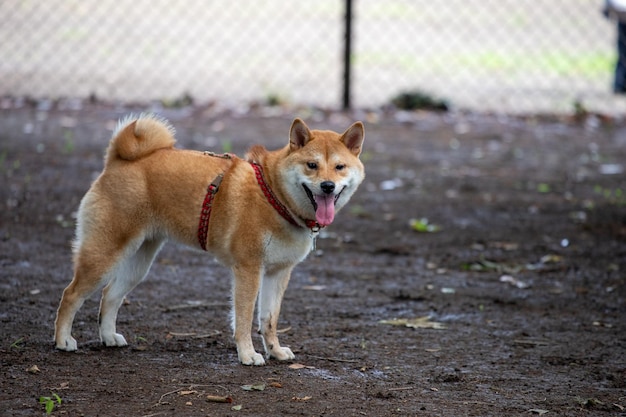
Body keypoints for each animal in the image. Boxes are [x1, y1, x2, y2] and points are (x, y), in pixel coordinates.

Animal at [56, 114, 366, 364]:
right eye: (312, 165)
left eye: (339, 167)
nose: (327, 186)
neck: (275, 196)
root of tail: (117, 160)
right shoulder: (248, 270)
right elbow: (244, 319)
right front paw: (248, 354)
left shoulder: (278, 273)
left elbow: (269, 319)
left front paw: (275, 351)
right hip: (104, 254)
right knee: (71, 294)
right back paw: (62, 341)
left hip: (138, 262)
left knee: (110, 296)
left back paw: (109, 337)